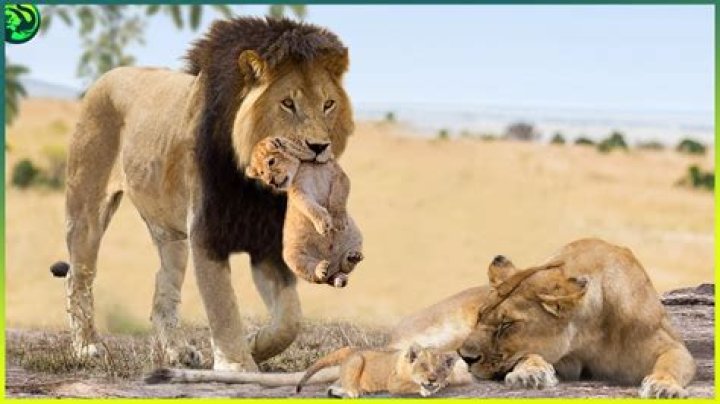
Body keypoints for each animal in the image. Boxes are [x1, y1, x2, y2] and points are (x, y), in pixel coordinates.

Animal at [244, 136, 363, 287]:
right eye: (261, 173)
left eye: (271, 162)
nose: (271, 182)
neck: (312, 165)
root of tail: (333, 270)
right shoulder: (299, 190)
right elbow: (309, 206)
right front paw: (323, 224)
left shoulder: (339, 175)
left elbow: (338, 196)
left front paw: (338, 221)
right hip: (292, 256)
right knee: (316, 276)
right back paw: (322, 269)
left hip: (356, 237)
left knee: (345, 267)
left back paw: (352, 258)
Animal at [296, 344, 458, 398]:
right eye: (423, 366)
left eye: (440, 369)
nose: (432, 380)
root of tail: (351, 349)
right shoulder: (394, 383)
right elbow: (412, 384)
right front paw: (425, 390)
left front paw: (441, 384)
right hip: (357, 360)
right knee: (345, 383)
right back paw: (354, 392)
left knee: (332, 386)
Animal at [457, 238, 696, 398]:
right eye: (480, 315)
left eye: (507, 324)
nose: (465, 357)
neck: (590, 334)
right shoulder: (567, 362)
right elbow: (528, 355)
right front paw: (529, 373)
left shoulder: (671, 345)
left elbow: (670, 363)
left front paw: (664, 387)